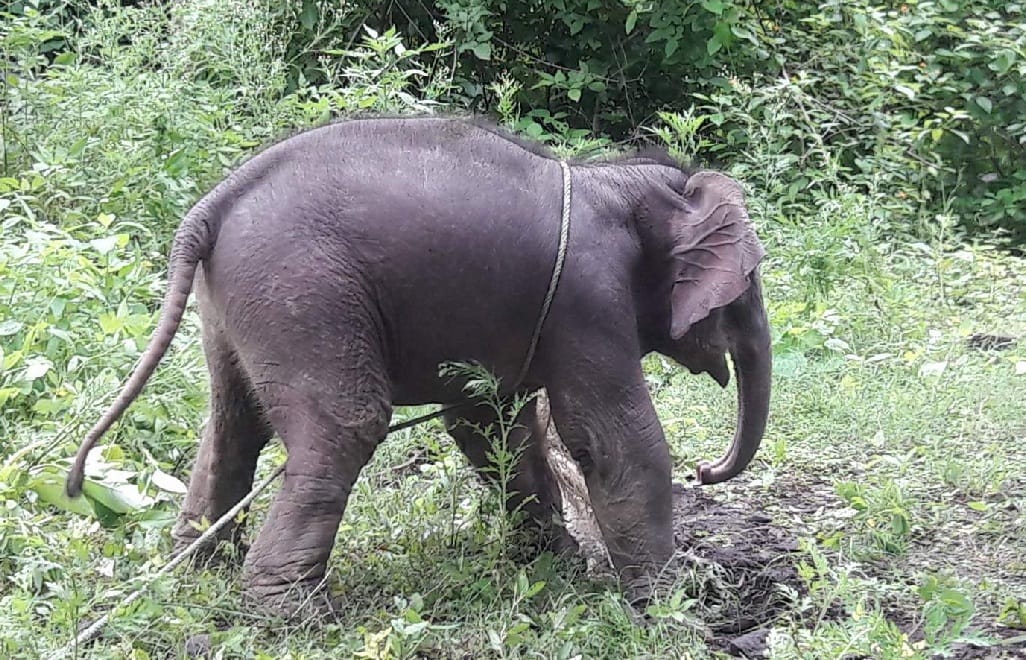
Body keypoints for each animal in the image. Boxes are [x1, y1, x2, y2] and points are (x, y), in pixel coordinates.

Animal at [65, 116, 771, 616]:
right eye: (748, 284)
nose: (708, 470)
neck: (616, 180)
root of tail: (210, 205)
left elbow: (489, 423)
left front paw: (558, 567)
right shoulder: (589, 299)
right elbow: (613, 439)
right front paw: (670, 609)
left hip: (237, 301)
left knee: (234, 422)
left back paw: (200, 569)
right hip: (303, 290)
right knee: (342, 426)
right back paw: (290, 616)